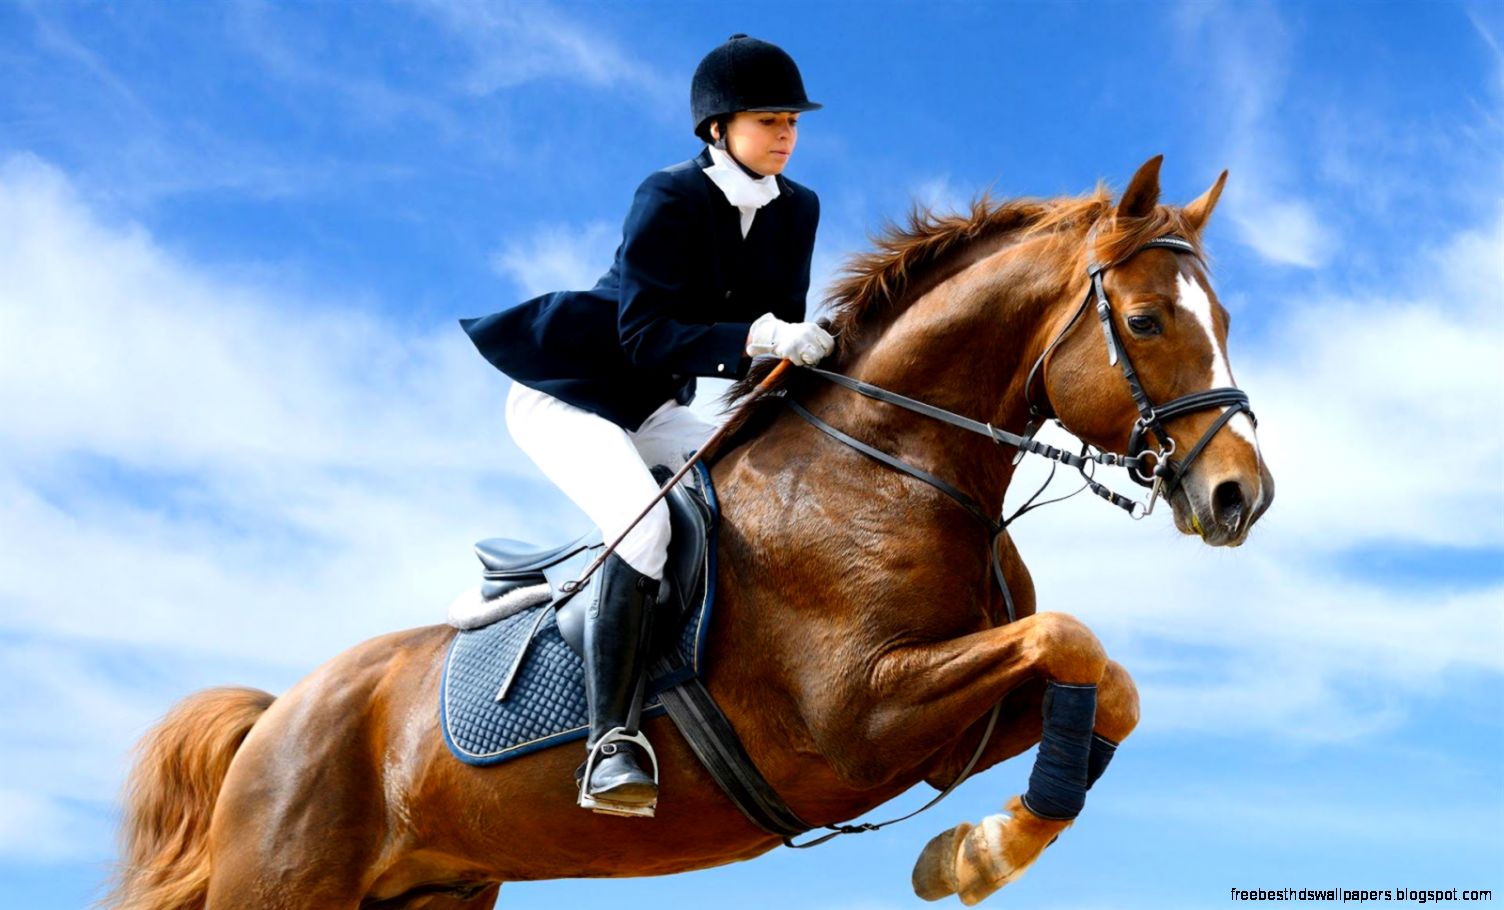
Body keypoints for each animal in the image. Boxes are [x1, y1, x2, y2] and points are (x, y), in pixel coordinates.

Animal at [105, 155, 1273, 910]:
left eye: (1223, 319)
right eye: (1145, 322)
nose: (1240, 498)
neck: (892, 463)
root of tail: (274, 717)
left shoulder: (952, 728)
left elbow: (1104, 680)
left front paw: (972, 853)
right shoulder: (860, 716)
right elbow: (1070, 639)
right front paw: (979, 858)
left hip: (434, 893)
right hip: (283, 886)